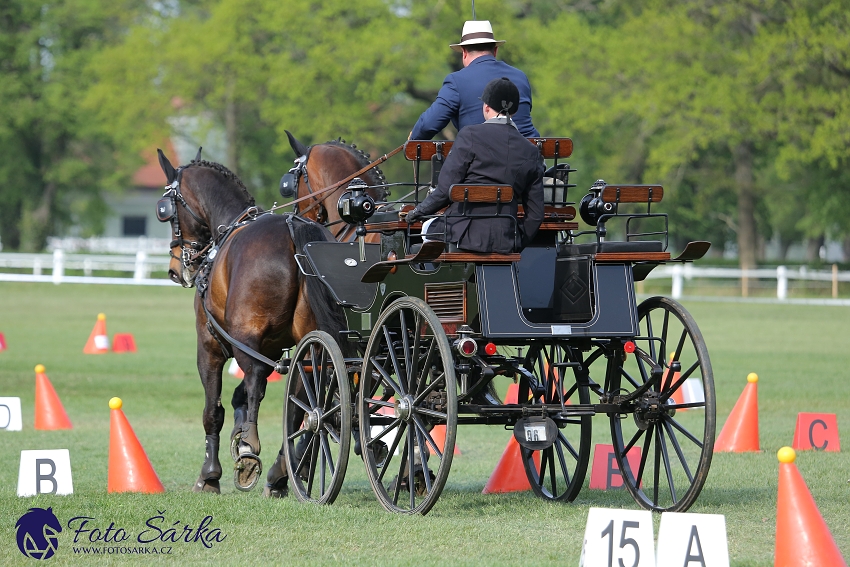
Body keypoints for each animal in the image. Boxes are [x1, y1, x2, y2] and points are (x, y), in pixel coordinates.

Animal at [157, 151, 346, 496]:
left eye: (164, 209)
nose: (176, 269)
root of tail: (293, 229)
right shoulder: (270, 348)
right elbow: (240, 397)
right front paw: (240, 439)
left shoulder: (212, 347)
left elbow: (214, 410)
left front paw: (211, 473)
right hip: (309, 343)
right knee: (302, 399)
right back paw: (281, 471)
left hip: (245, 341)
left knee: (258, 382)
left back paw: (253, 455)